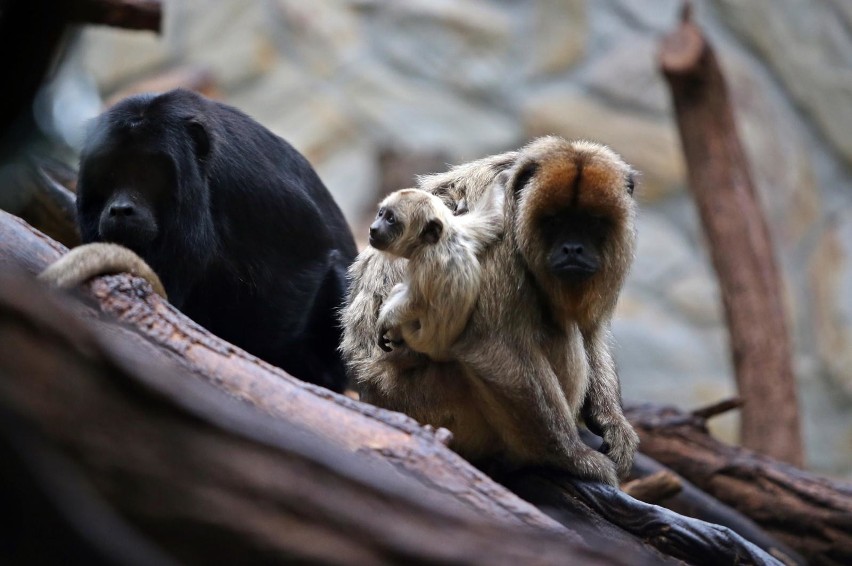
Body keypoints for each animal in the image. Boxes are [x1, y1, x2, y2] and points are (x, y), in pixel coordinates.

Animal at [368, 186, 502, 364]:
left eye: (390, 220)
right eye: (381, 213)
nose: (373, 228)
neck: (440, 241)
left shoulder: (425, 263)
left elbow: (416, 303)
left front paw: (383, 322)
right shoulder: (462, 231)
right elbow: (493, 215)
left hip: (416, 337)